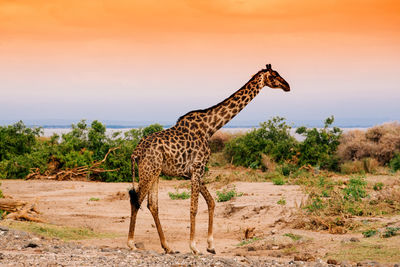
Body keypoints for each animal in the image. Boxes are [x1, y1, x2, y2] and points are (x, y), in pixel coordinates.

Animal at [128, 64, 290, 255]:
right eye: (274, 75)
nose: (287, 86)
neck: (210, 127)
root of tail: (136, 152)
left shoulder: (192, 172)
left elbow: (211, 202)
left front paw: (210, 246)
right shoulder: (198, 168)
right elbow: (194, 208)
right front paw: (194, 247)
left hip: (155, 172)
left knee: (152, 205)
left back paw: (168, 247)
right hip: (148, 170)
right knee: (136, 200)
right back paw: (131, 243)